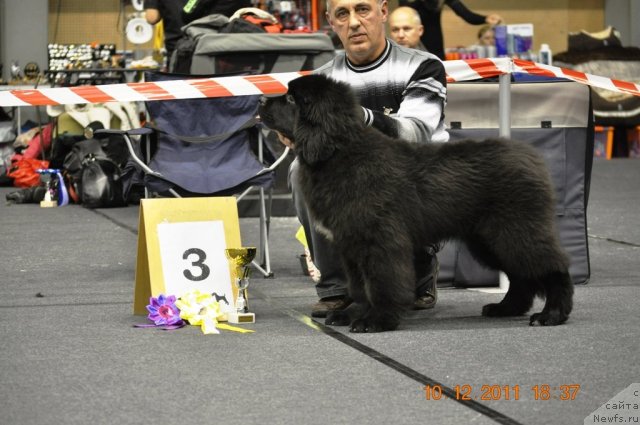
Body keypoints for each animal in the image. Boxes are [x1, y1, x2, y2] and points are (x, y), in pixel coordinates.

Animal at [258, 73, 572, 332]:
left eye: (290, 99)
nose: (260, 100)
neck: (338, 152)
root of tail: (530, 157)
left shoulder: (379, 240)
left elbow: (381, 283)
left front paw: (376, 320)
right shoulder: (352, 243)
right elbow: (360, 286)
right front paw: (353, 313)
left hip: (514, 230)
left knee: (551, 266)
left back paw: (552, 314)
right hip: (487, 239)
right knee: (522, 275)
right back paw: (505, 308)